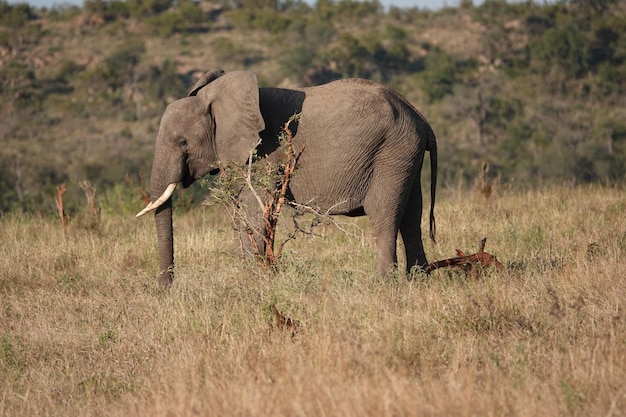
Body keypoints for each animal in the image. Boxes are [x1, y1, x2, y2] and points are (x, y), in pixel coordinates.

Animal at [136, 68, 436, 288]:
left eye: (182, 142)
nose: (165, 290)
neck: (216, 99)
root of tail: (420, 117)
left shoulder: (263, 154)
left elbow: (253, 214)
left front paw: (255, 284)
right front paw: (250, 281)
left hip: (391, 151)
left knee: (384, 215)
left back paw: (385, 285)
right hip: (405, 154)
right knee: (411, 215)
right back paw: (418, 281)